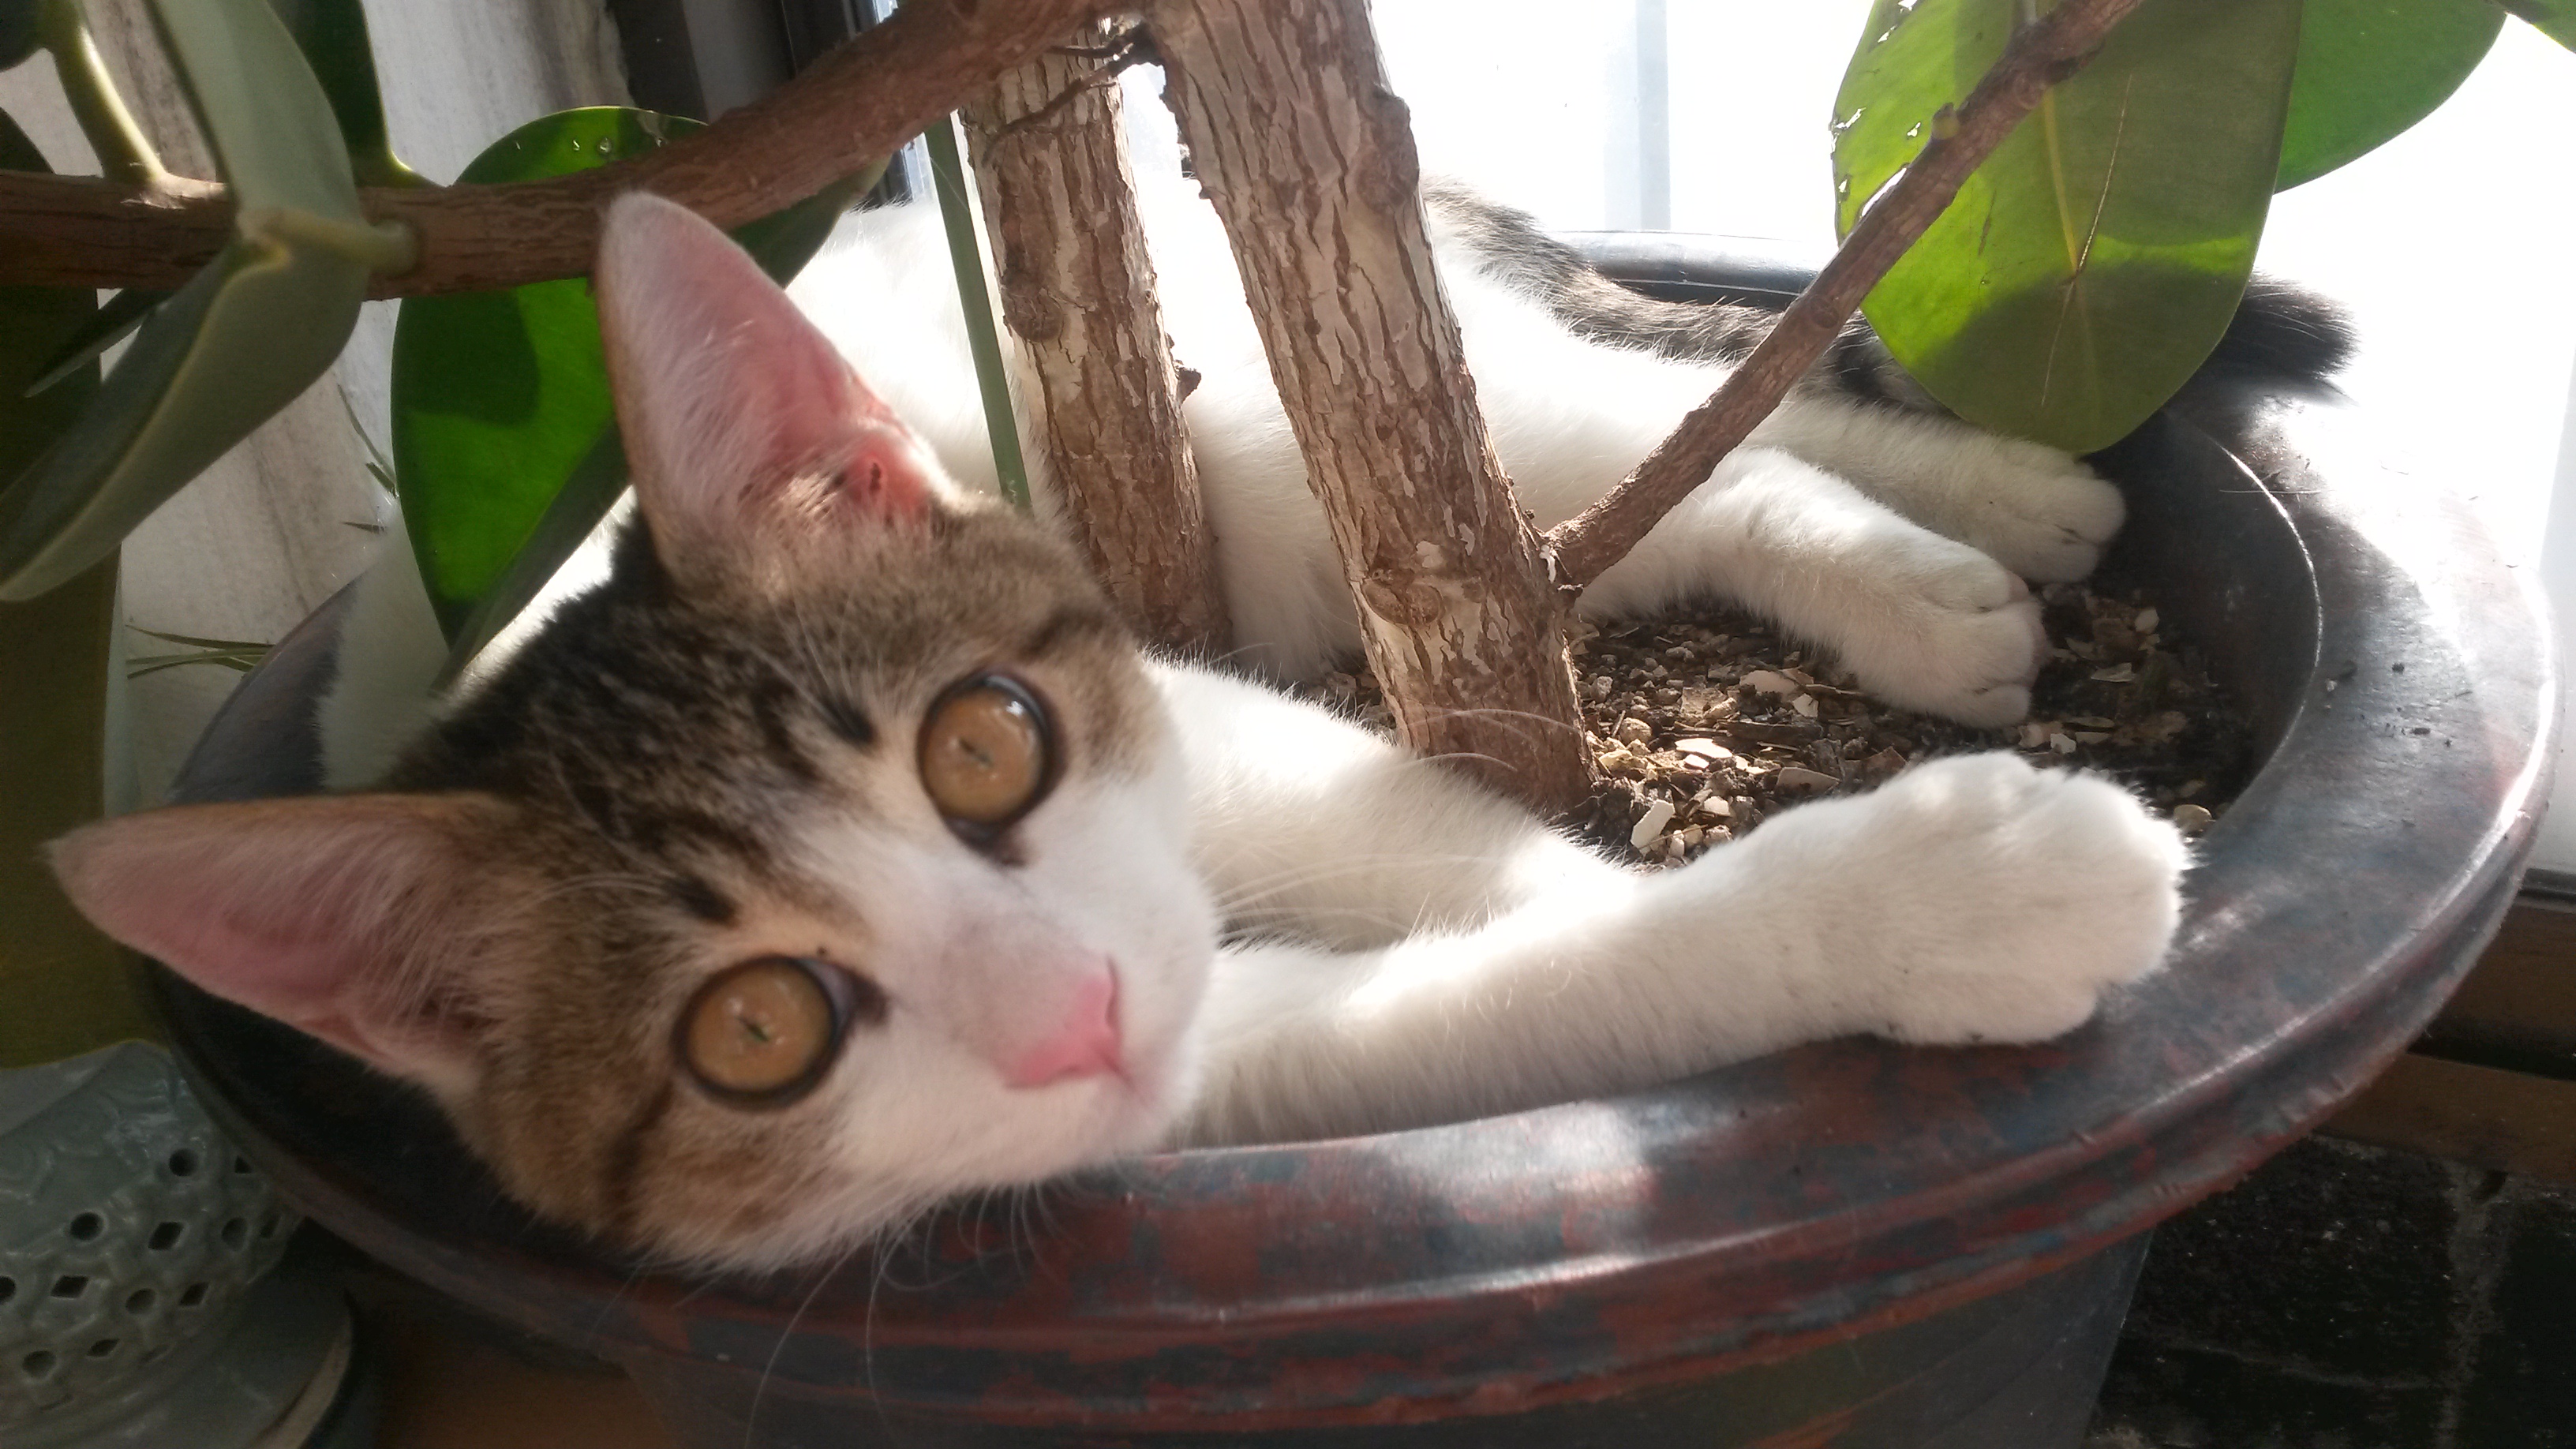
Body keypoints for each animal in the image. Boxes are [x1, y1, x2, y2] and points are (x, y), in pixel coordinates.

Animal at [48, 189, 2210, 1272]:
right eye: (753, 1038)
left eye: (980, 747)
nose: (1077, 1004)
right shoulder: (1165, 1088)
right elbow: (1501, 994)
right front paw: (1925, 903)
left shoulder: (1217, 723)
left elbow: (1438, 831)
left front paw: (1887, 889)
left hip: (1260, 423)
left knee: (1647, 434)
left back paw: (1980, 526)